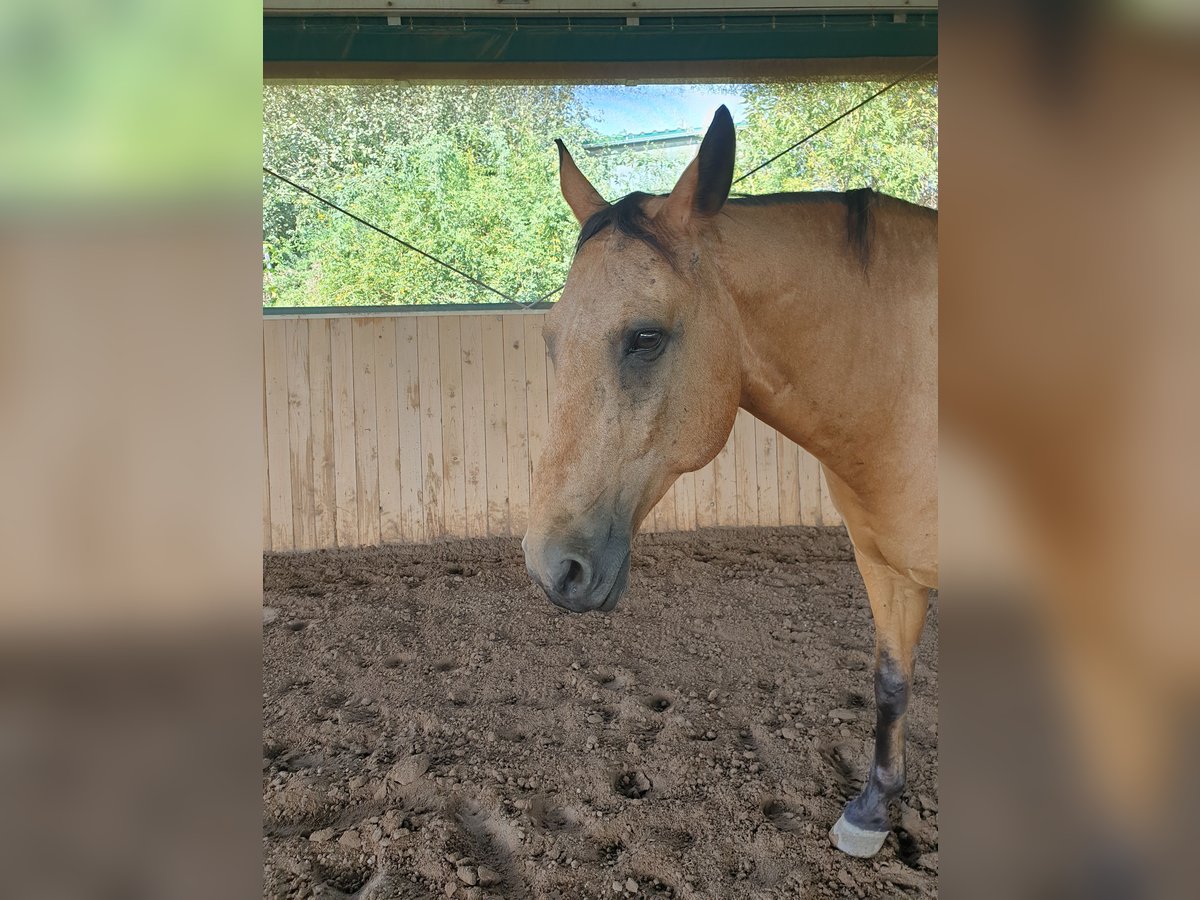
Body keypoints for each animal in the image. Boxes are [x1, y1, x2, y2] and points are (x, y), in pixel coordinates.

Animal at [523, 107, 936, 859]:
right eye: (552, 338)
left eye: (646, 337)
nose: (549, 568)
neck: (908, 384)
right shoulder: (885, 565)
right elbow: (892, 680)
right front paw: (870, 813)